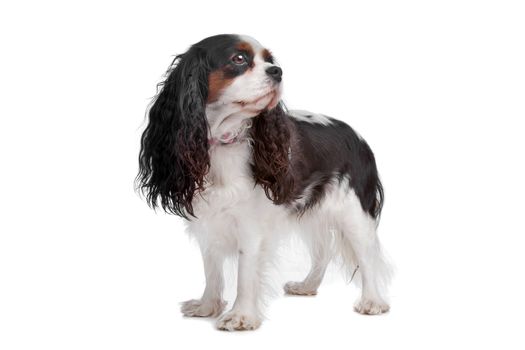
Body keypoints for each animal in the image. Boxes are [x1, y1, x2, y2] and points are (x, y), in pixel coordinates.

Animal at [137, 33, 390, 330]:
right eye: (239, 59)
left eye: (270, 60)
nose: (277, 71)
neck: (223, 141)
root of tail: (356, 135)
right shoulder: (209, 221)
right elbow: (212, 268)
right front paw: (207, 305)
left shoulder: (250, 225)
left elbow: (245, 273)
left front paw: (240, 316)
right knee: (323, 251)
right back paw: (307, 285)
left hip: (354, 213)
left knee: (367, 256)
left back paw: (372, 301)